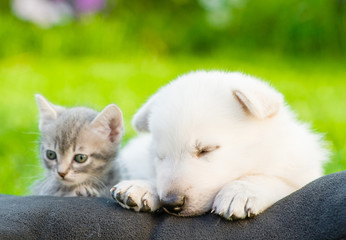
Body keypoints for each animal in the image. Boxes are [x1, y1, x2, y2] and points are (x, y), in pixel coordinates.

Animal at [112, 71, 328, 219]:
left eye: (206, 150)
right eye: (160, 156)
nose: (171, 203)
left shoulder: (302, 174)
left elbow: (275, 180)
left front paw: (240, 192)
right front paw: (141, 186)